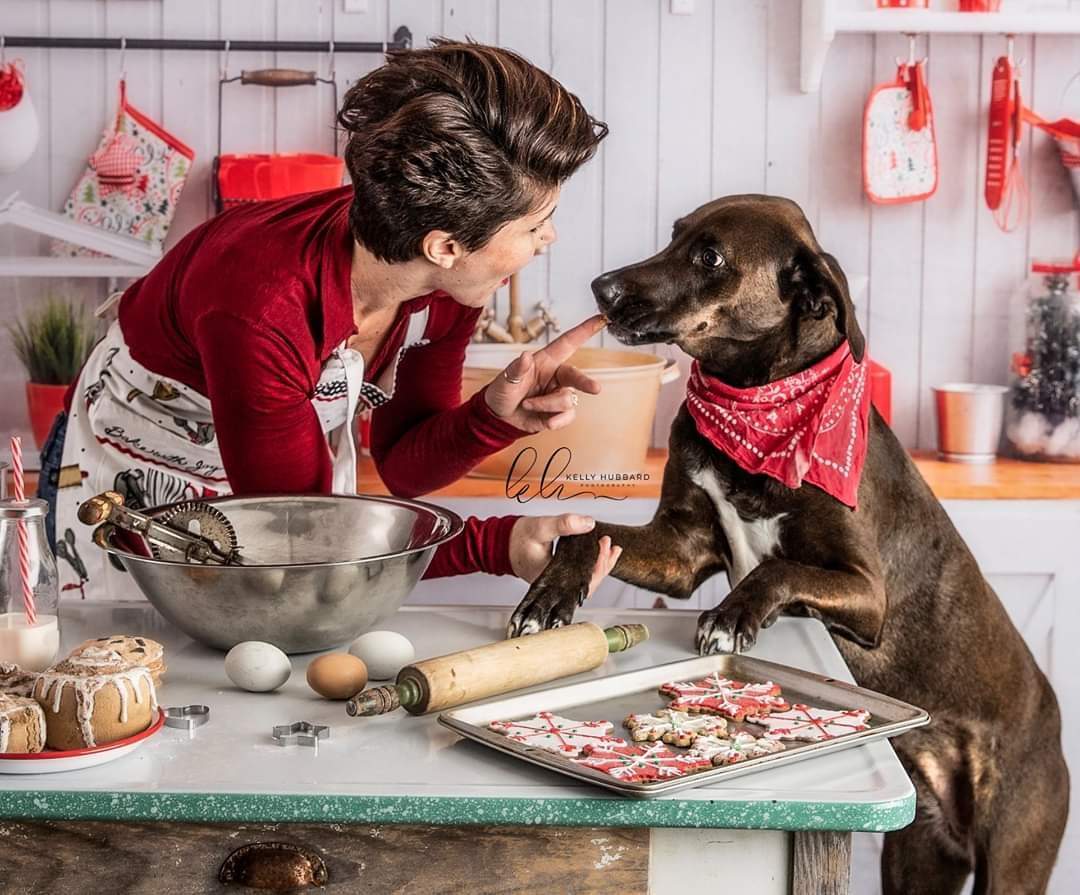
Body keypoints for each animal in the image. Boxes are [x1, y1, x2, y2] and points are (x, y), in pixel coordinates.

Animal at [509, 194, 1067, 893]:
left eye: (710, 256)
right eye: (676, 235)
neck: (756, 402)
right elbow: (589, 534)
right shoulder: (679, 550)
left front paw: (730, 618)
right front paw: (550, 594)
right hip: (917, 855)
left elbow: (776, 572)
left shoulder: (868, 595)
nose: (600, 288)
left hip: (1015, 848)